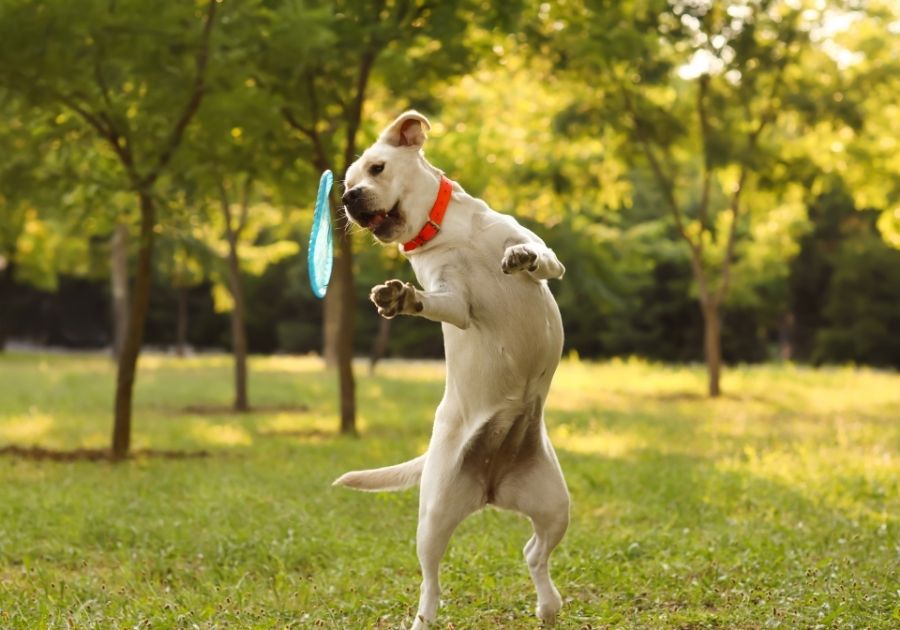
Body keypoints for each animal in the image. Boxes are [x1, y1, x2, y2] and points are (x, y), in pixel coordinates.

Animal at [330, 111, 568, 628]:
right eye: (346, 185)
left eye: (376, 168)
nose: (350, 198)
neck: (447, 234)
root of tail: (491, 486)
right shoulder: (453, 299)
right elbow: (435, 302)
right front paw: (400, 298)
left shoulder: (546, 256)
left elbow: (541, 257)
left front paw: (520, 258)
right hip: (434, 516)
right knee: (431, 581)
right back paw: (424, 619)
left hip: (556, 507)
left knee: (533, 552)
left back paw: (547, 604)